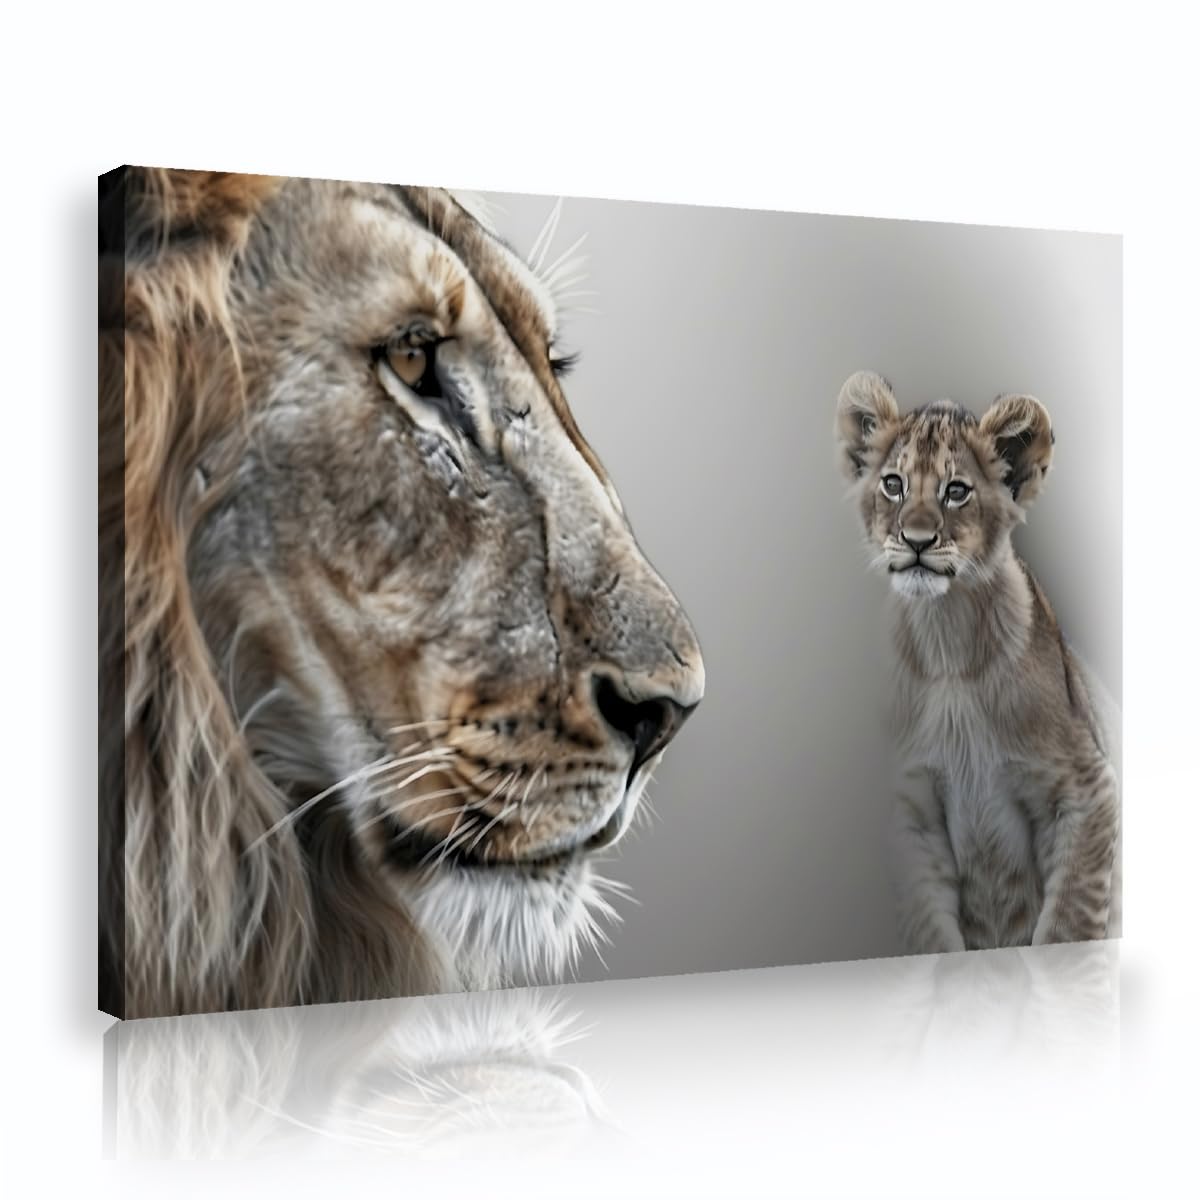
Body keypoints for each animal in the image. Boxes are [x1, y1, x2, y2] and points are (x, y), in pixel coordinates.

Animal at [833, 371, 1119, 953]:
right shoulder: (910, 813)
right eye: (893, 484)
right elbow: (929, 936)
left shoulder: (1087, 790)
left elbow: (1068, 931)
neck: (948, 646)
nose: (917, 541)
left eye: (956, 491)